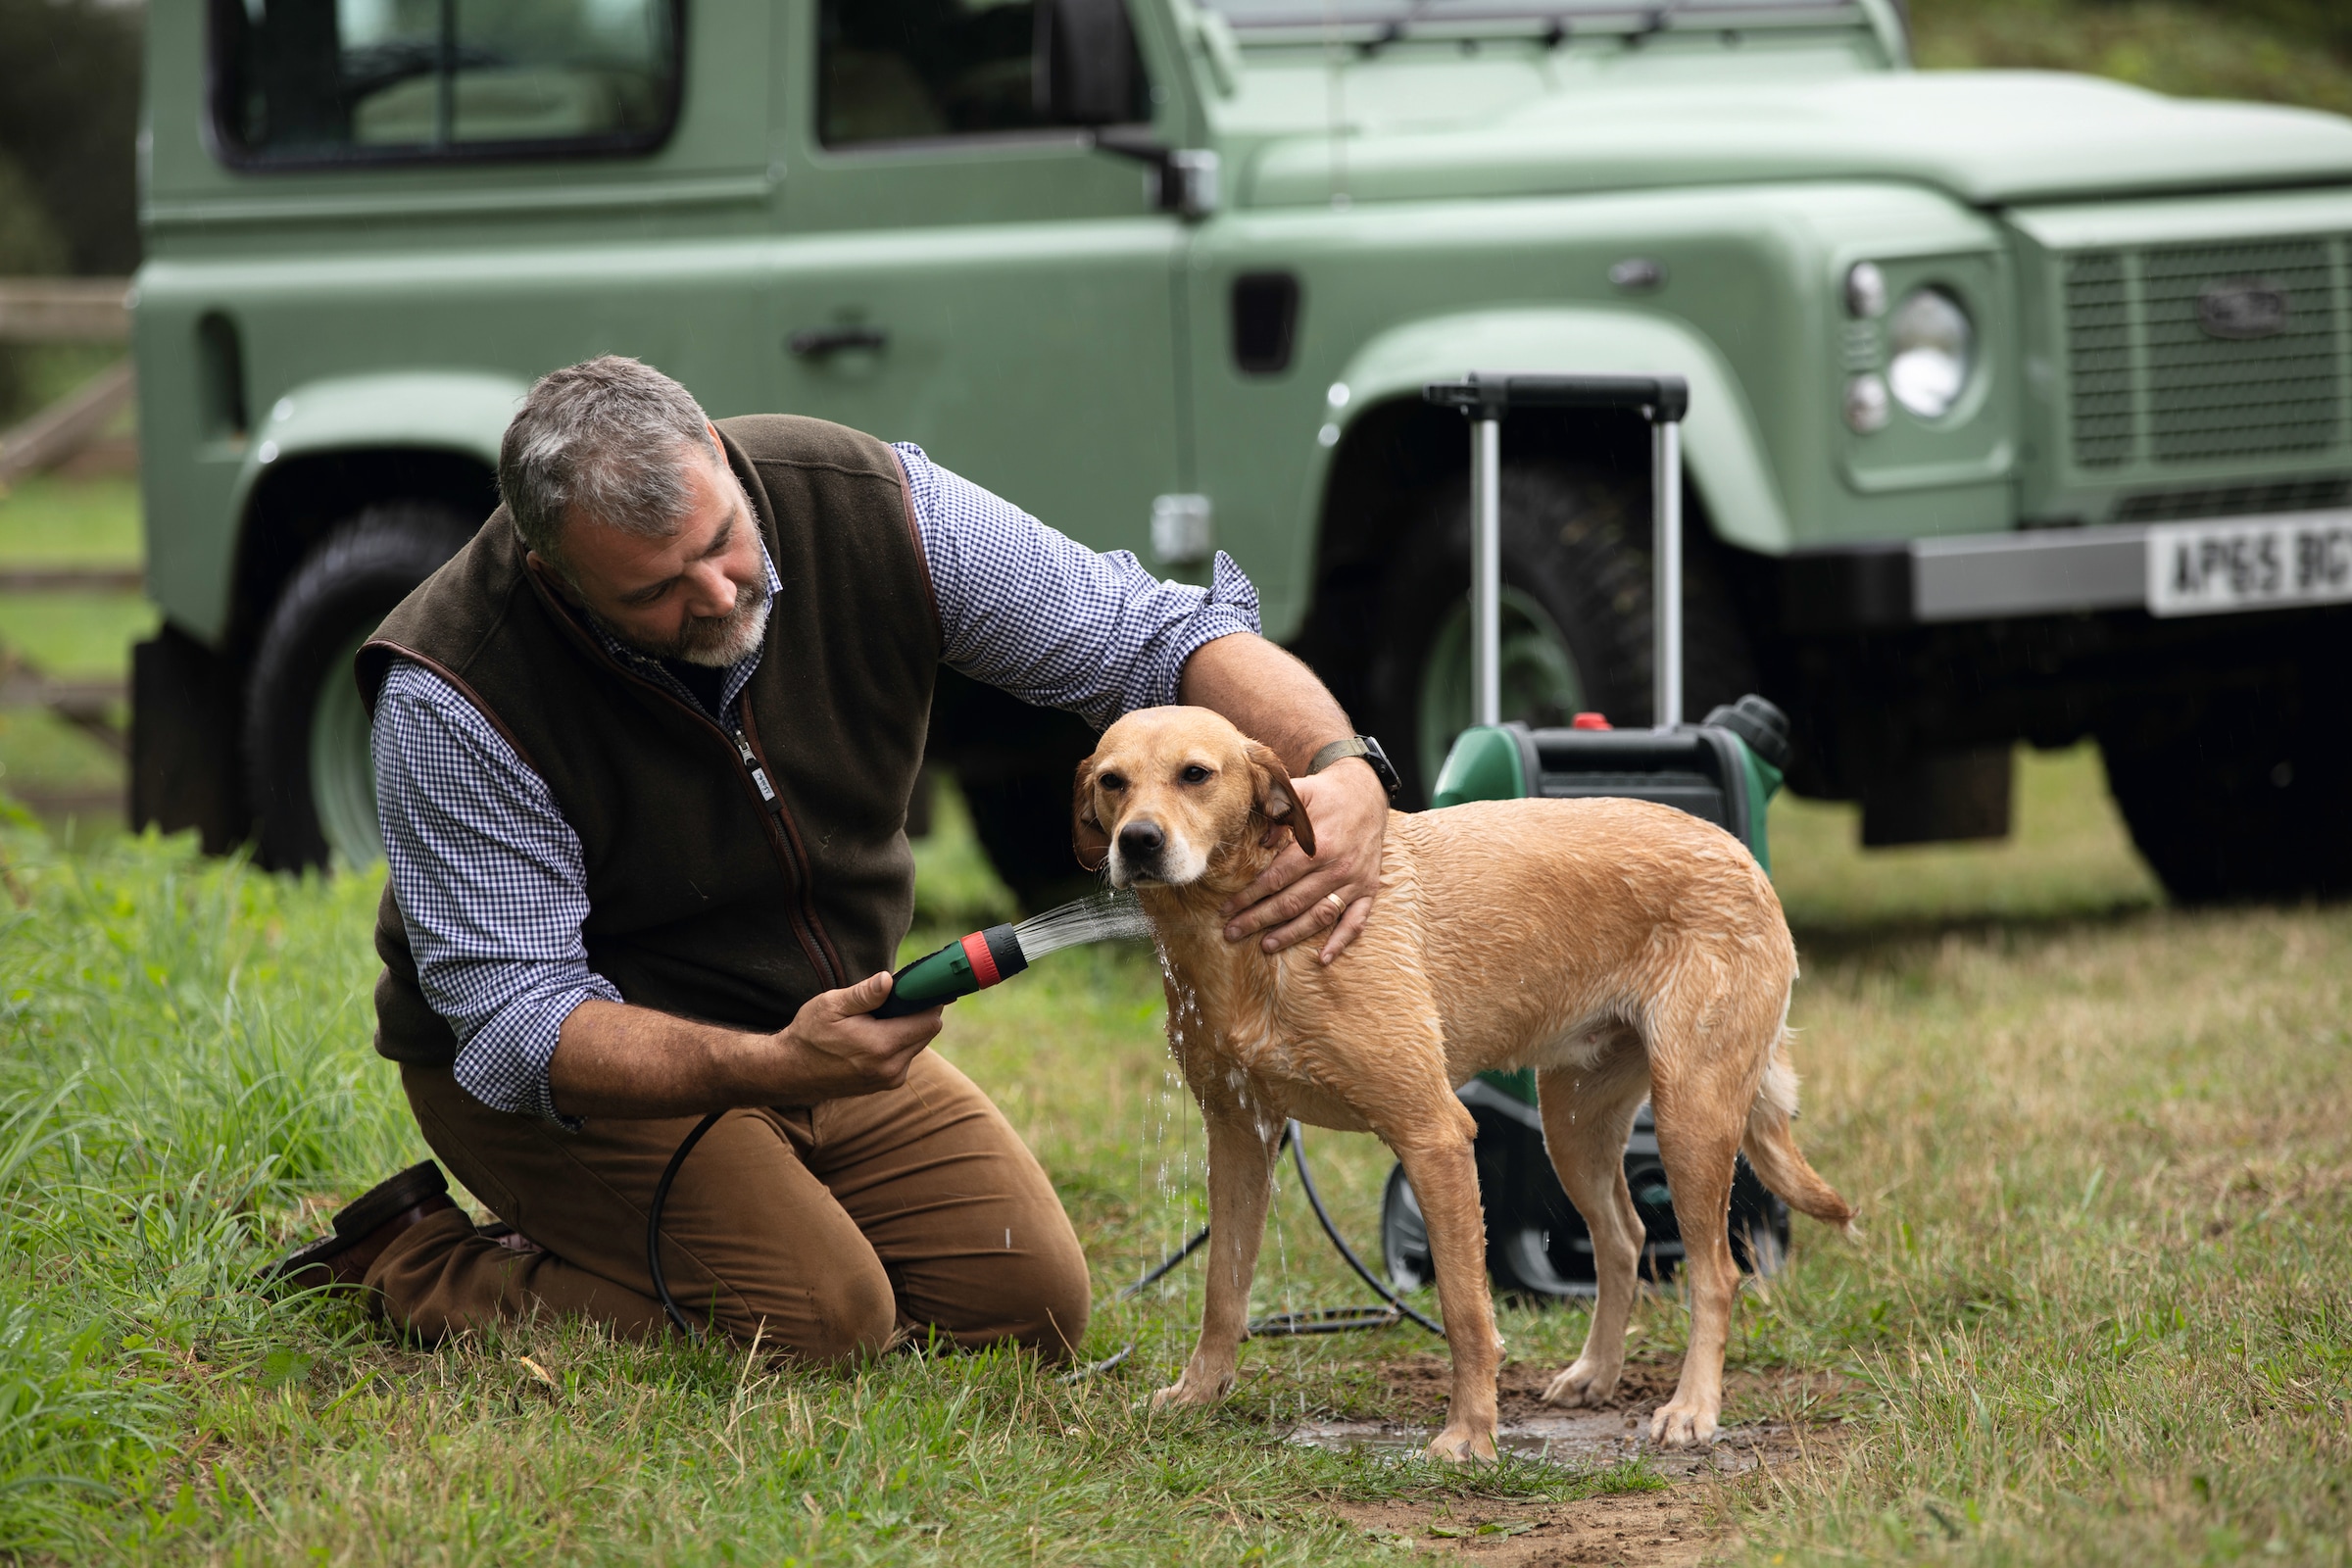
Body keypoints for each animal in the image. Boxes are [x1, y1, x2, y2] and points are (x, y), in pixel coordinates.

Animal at [1082, 710, 1853, 1457]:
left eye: (1196, 774)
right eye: (1113, 782)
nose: (1139, 841)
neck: (1243, 948)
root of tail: (1740, 854)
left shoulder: (1435, 1136)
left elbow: (1464, 1308)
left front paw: (1471, 1435)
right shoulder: (1240, 1134)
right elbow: (1223, 1290)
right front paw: (1197, 1395)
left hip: (1690, 1117)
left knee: (1715, 1273)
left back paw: (1692, 1408)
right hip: (1573, 1125)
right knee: (1623, 1239)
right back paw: (1595, 1374)